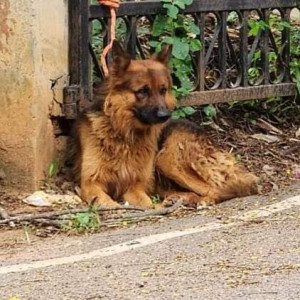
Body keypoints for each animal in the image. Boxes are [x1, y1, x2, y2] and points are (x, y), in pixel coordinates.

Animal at [73, 41, 258, 207]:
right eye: (143, 91)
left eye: (162, 90)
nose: (165, 115)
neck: (125, 133)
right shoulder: (91, 184)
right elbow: (109, 203)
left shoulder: (135, 187)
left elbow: (148, 205)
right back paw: (181, 199)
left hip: (167, 159)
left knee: (217, 190)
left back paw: (201, 201)